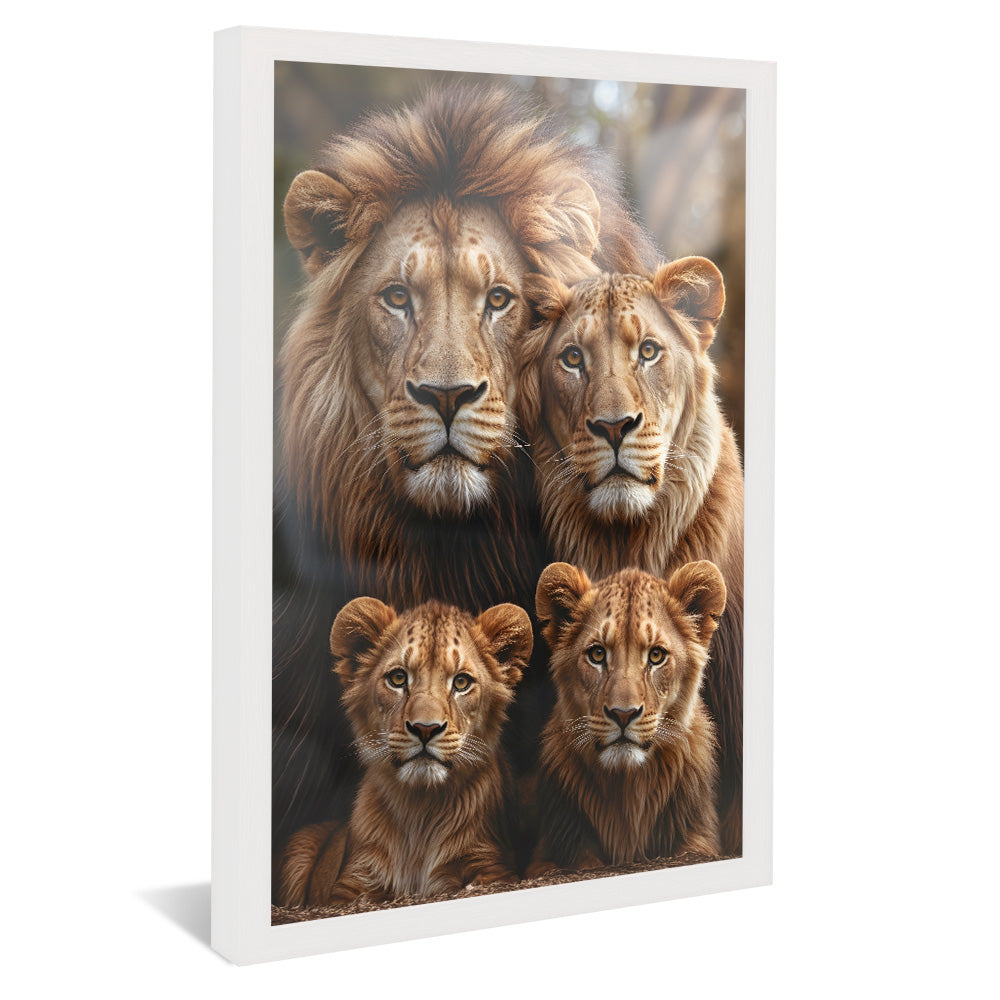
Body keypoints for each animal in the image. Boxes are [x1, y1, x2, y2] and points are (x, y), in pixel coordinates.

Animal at [277, 597, 533, 907]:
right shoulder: (352, 881)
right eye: (398, 678)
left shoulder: (493, 867)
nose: (425, 729)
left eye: (461, 682)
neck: (419, 809)